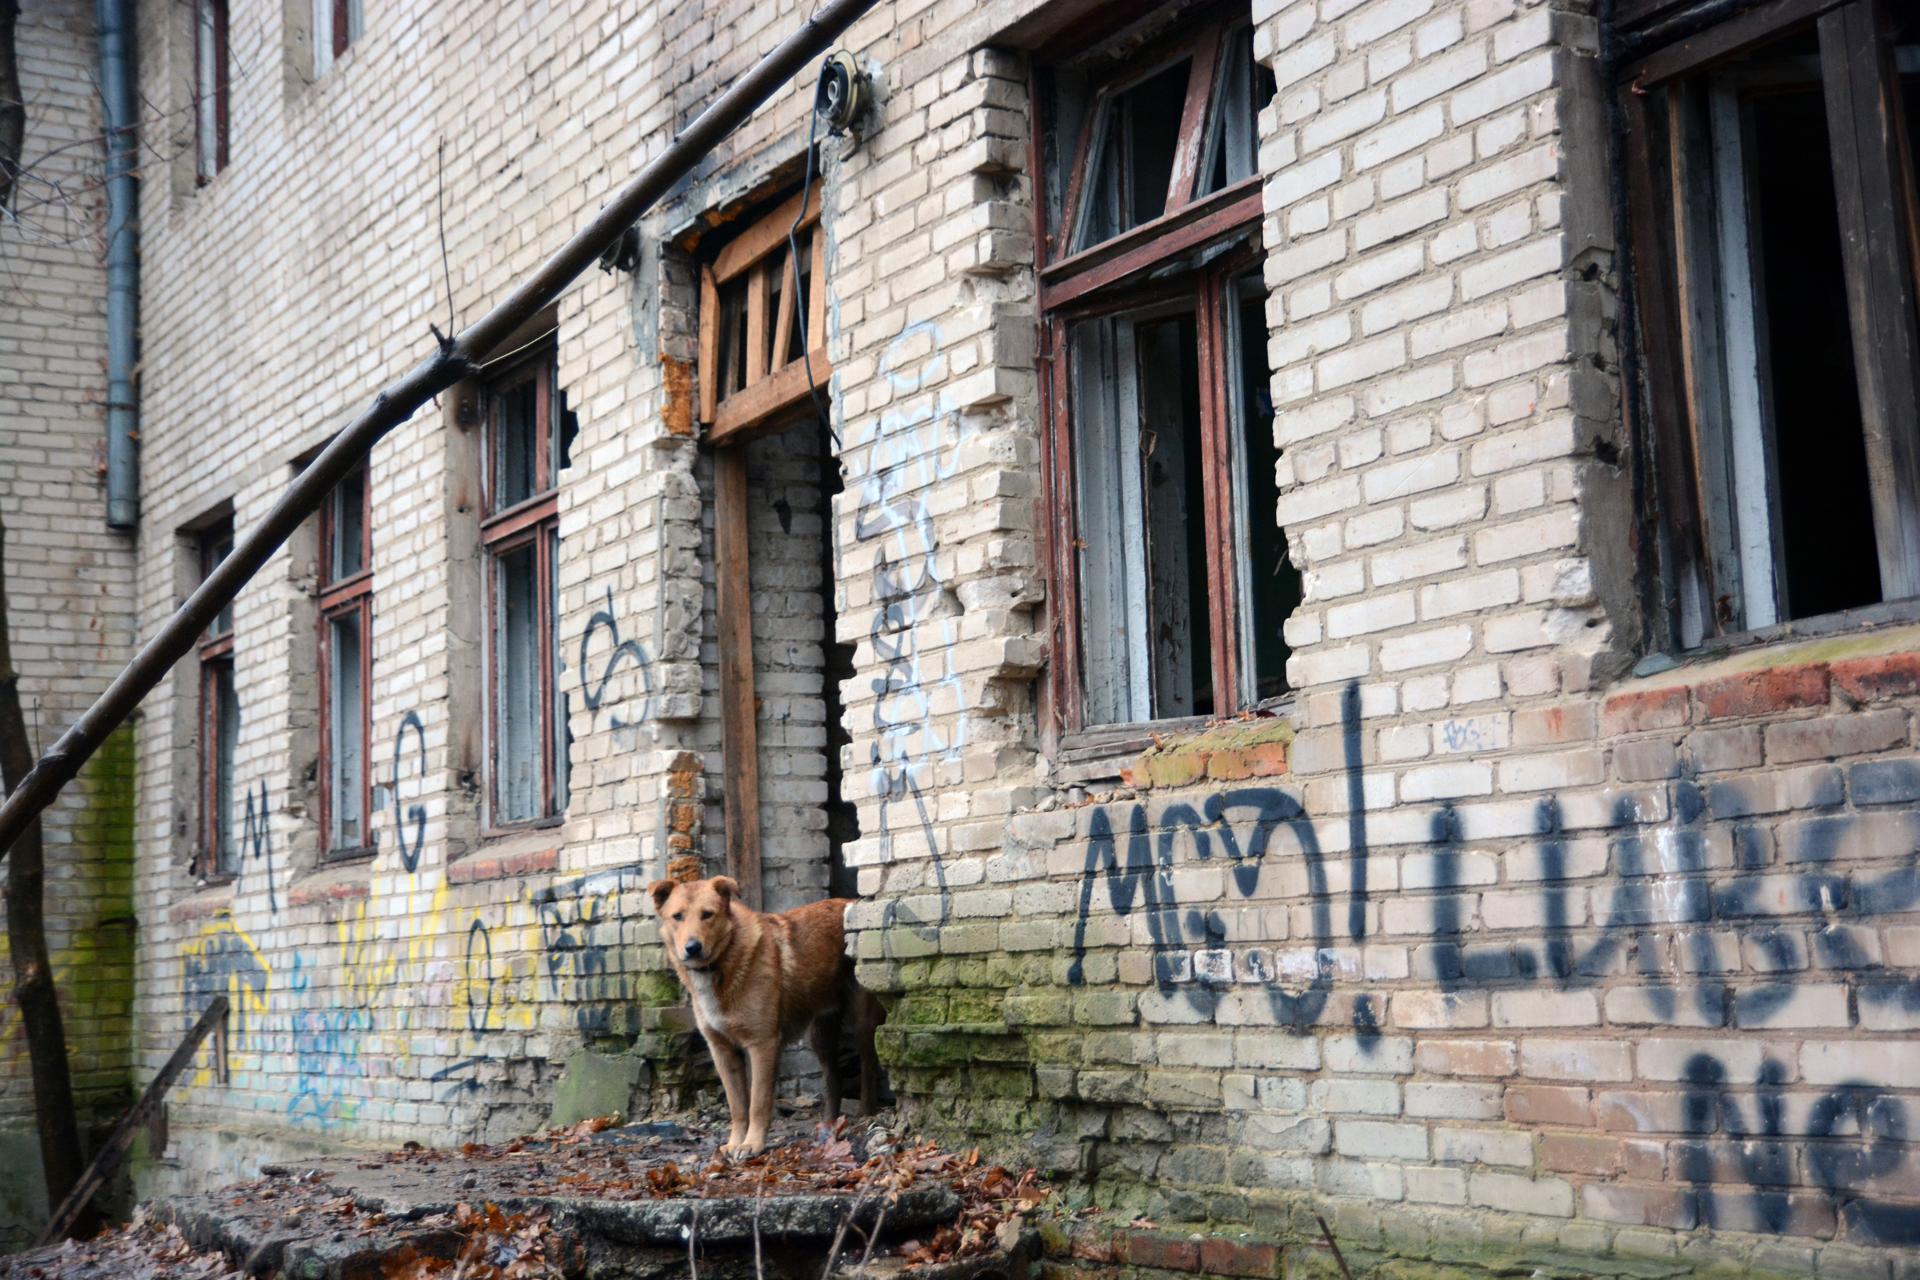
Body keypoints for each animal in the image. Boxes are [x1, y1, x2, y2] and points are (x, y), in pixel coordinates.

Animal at [648, 875, 879, 1159]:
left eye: (707, 914)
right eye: (677, 916)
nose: (692, 948)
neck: (722, 967)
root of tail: (851, 903)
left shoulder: (762, 1045)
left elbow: (757, 1102)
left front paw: (752, 1144)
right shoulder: (722, 1051)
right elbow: (737, 1106)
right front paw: (735, 1142)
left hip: (862, 1022)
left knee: (869, 1065)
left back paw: (866, 1113)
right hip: (821, 1033)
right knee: (833, 1078)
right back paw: (829, 1124)